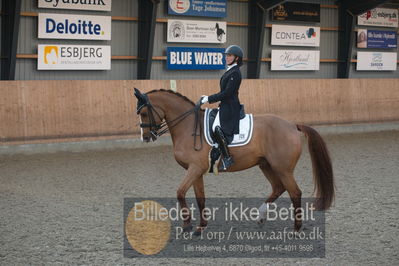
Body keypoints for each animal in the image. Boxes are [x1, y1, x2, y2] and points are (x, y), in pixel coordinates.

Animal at [134, 88, 334, 232]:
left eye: (143, 113)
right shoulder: (197, 171)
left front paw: (187, 225)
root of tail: (292, 125)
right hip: (266, 165)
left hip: (283, 168)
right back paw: (260, 216)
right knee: (279, 187)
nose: (145, 137)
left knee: (295, 193)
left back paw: (296, 228)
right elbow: (200, 198)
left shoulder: (194, 168)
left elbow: (180, 193)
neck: (188, 127)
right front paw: (201, 227)